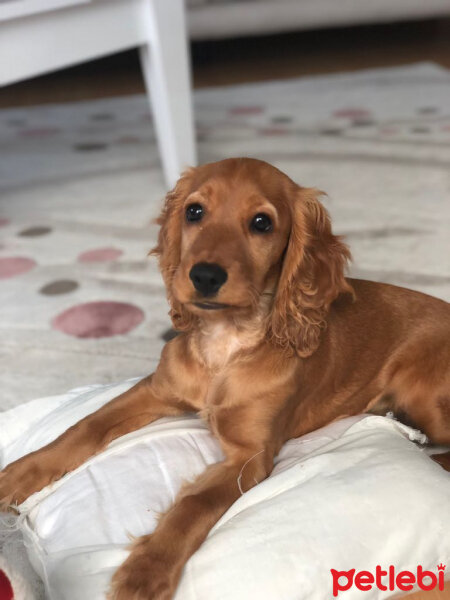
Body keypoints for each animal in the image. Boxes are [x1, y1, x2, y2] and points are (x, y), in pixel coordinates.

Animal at [0, 156, 450, 600]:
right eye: (194, 212)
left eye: (262, 222)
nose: (205, 276)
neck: (225, 345)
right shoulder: (155, 390)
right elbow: (85, 427)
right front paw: (16, 476)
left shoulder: (249, 456)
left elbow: (196, 504)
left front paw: (145, 571)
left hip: (423, 398)